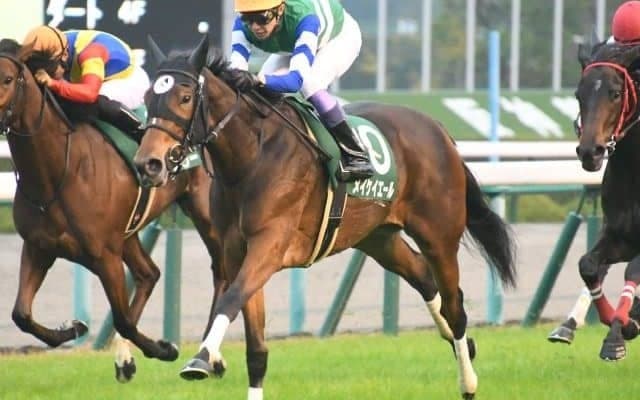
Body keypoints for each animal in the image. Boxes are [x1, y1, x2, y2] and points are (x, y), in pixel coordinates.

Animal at [0, 38, 232, 382]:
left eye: (7, 79)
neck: (56, 172)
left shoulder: (105, 255)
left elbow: (123, 319)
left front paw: (165, 348)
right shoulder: (39, 247)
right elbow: (21, 314)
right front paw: (73, 327)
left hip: (206, 214)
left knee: (222, 271)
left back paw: (210, 356)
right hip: (128, 232)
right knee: (149, 273)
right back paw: (126, 358)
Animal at [133, 35, 517, 400]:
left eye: (185, 97)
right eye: (149, 96)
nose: (148, 164)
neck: (251, 156)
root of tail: (438, 129)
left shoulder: (269, 244)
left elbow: (231, 297)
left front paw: (201, 358)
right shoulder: (237, 251)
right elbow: (255, 347)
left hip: (439, 235)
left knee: (455, 305)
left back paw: (468, 381)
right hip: (378, 237)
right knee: (424, 278)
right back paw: (462, 344)